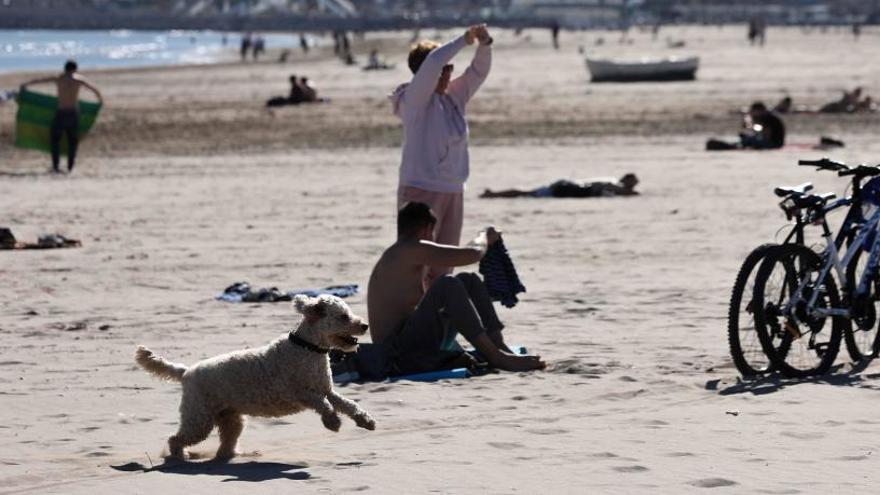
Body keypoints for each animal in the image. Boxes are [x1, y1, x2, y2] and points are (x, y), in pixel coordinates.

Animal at [136, 294, 376, 462]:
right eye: (343, 316)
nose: (365, 325)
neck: (307, 348)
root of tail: (186, 372)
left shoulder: (326, 389)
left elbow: (347, 403)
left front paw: (365, 420)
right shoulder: (298, 392)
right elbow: (323, 403)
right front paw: (332, 421)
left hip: (230, 418)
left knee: (227, 442)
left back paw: (233, 456)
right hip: (199, 418)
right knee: (175, 438)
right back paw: (180, 456)